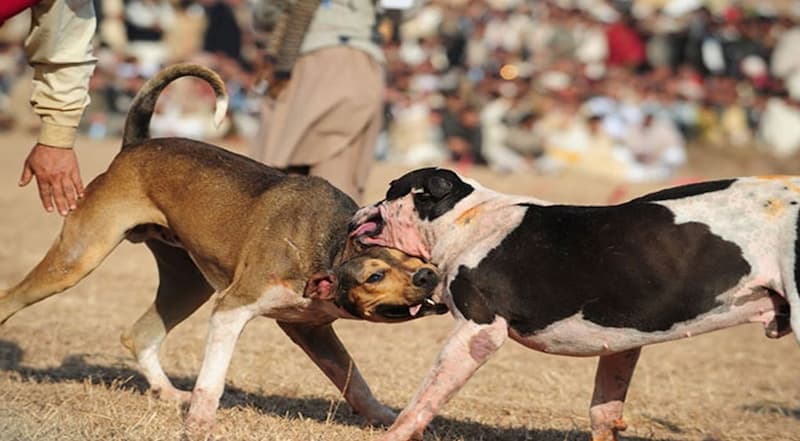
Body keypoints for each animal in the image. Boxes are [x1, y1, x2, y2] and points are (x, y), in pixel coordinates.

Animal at [0, 64, 446, 436]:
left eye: (416, 257)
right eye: (375, 275)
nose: (428, 275)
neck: (334, 242)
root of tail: (134, 146)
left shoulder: (313, 329)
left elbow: (355, 380)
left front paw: (386, 418)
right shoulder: (232, 309)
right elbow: (211, 379)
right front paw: (199, 422)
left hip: (187, 283)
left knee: (138, 336)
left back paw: (167, 392)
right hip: (78, 256)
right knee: (11, 298)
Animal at [350, 168, 800, 440]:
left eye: (390, 190)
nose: (359, 210)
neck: (464, 219)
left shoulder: (479, 332)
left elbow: (424, 398)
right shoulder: (623, 344)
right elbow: (604, 409)